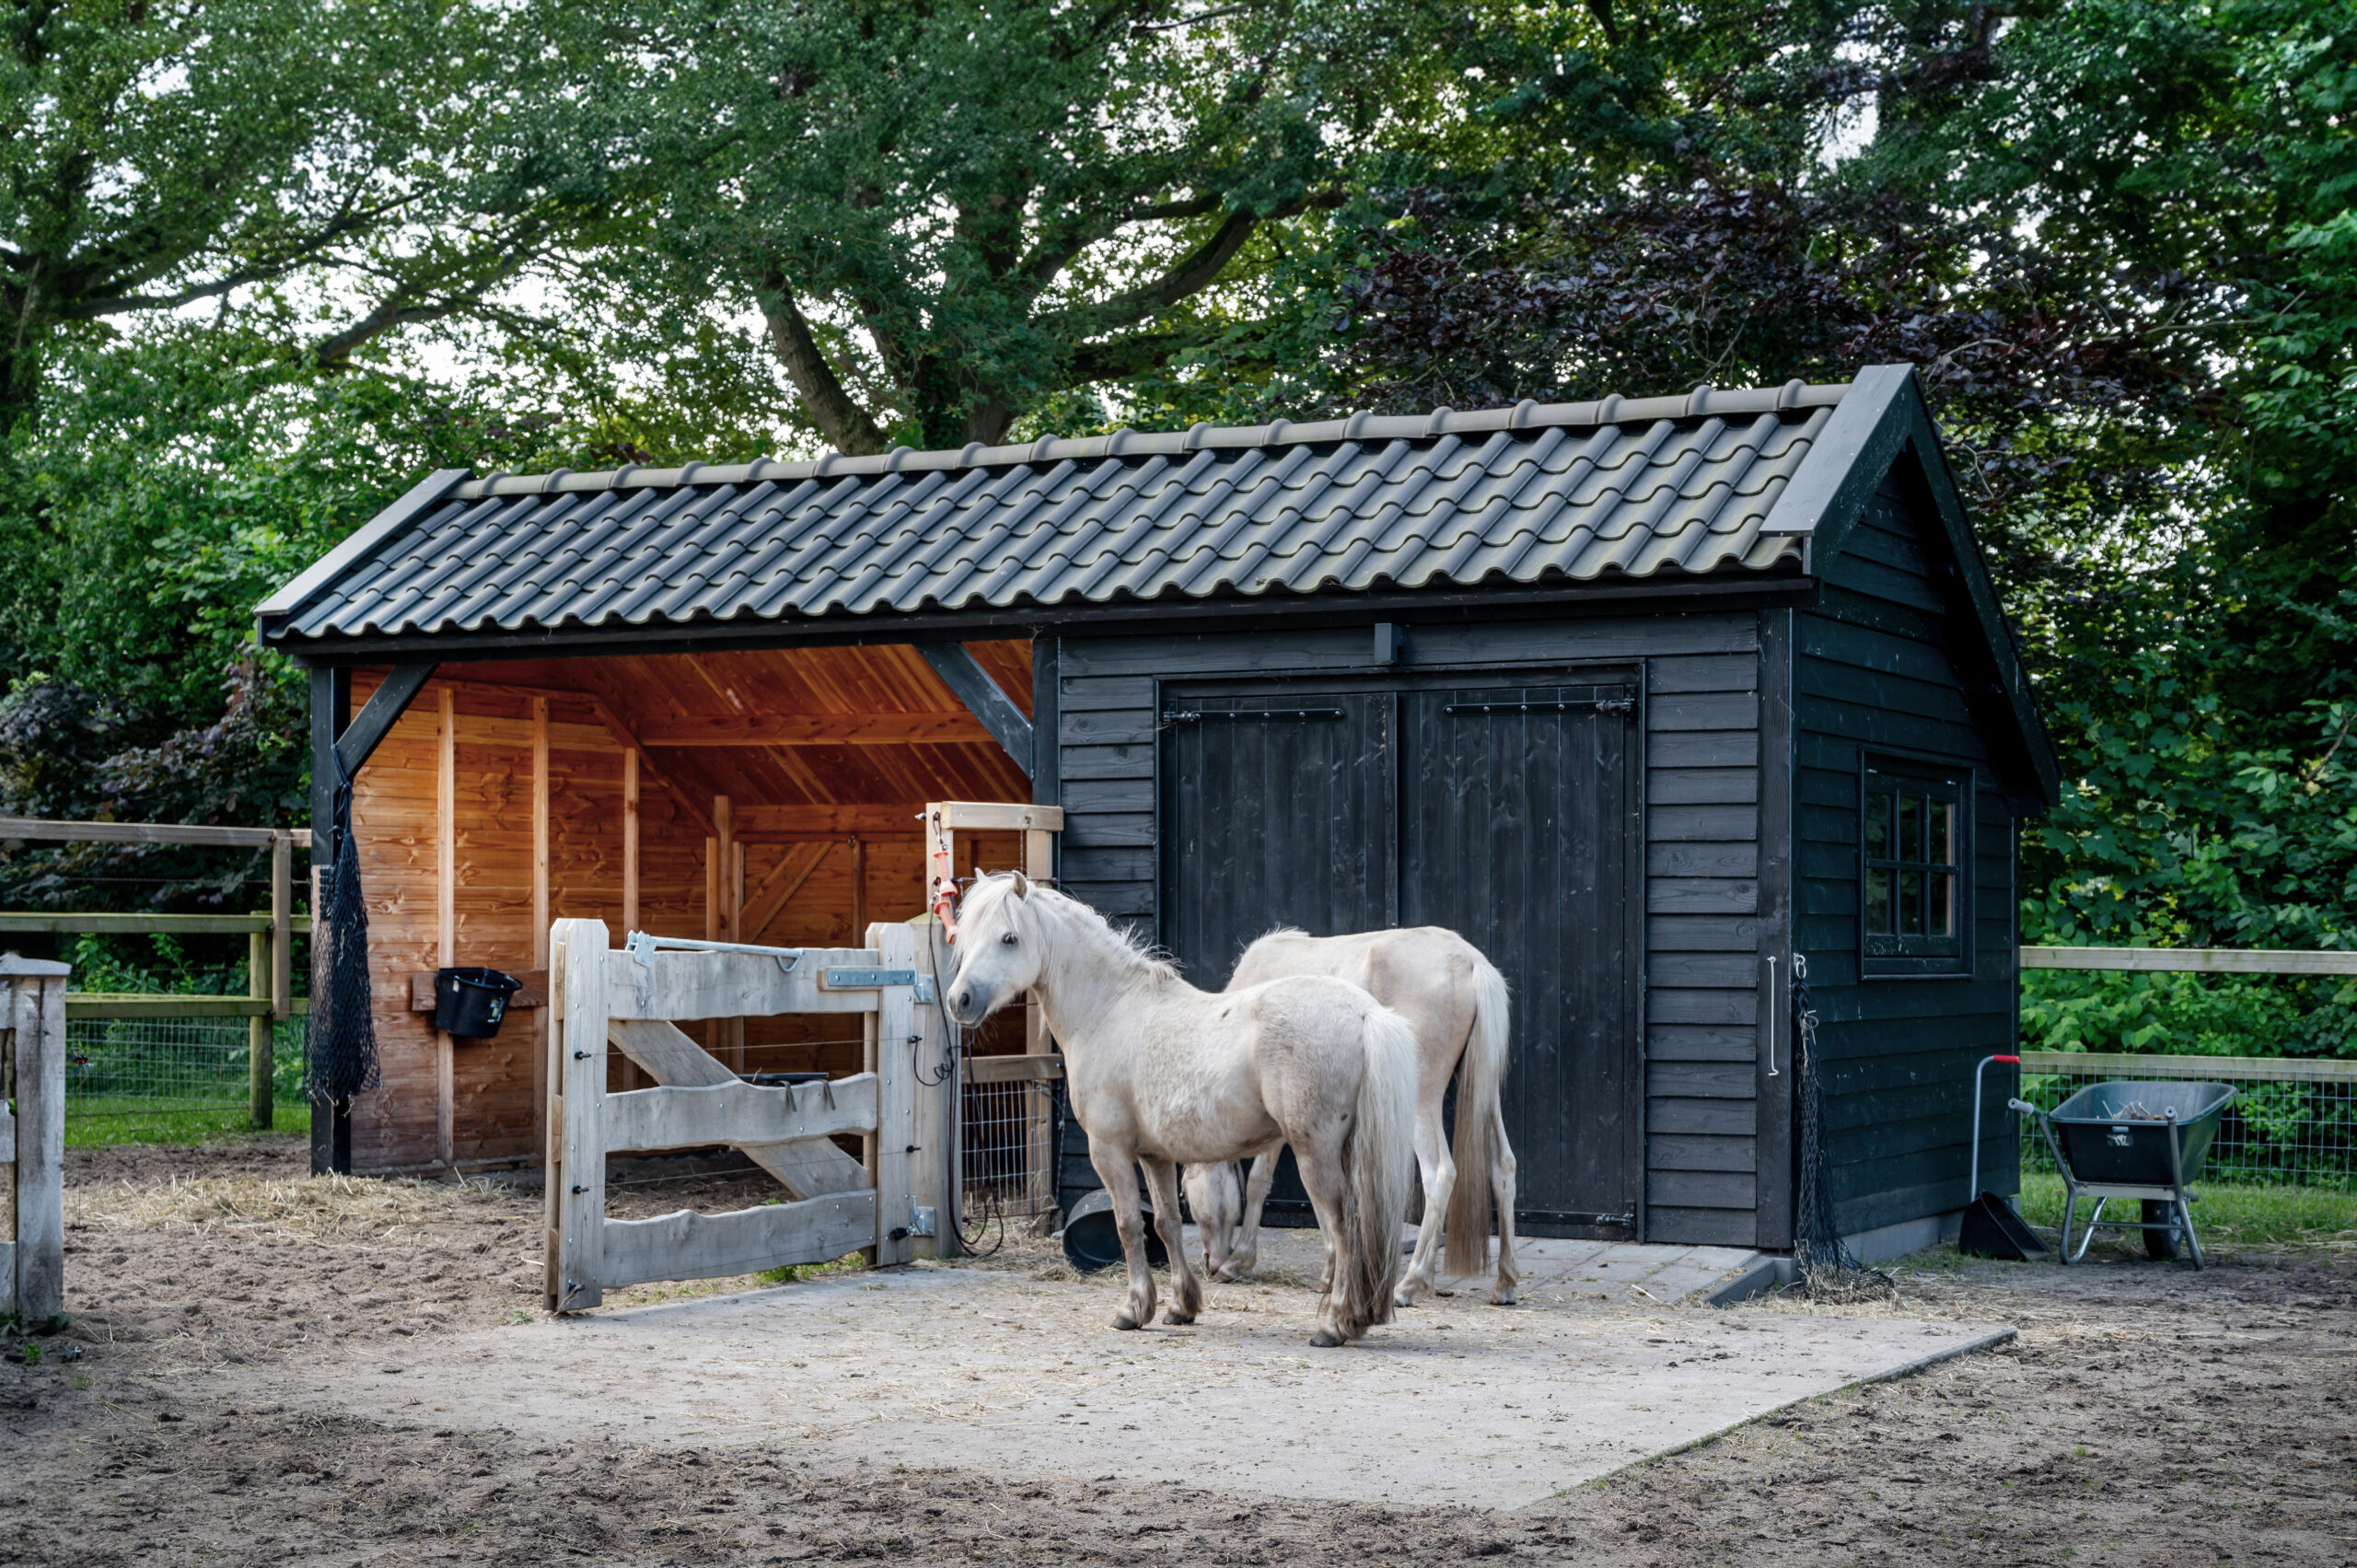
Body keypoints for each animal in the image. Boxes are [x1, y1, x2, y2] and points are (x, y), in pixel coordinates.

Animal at [944, 872, 1420, 1347]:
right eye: (967, 937)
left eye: (1009, 938)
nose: (958, 1000)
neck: (1110, 1011)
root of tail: (1364, 1013)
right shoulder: (1155, 1156)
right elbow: (1166, 1224)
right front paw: (1180, 1306)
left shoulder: (1109, 1151)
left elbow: (1128, 1224)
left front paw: (1133, 1308)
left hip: (1315, 1153)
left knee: (1342, 1226)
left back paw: (1334, 1323)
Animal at [1183, 927, 1520, 1307]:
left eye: (1187, 1196)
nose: (1210, 1261)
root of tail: (1470, 962)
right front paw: (1334, 1269)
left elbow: (1262, 1181)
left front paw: (1240, 1261)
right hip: (1484, 1090)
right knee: (1503, 1166)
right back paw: (1504, 1283)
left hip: (1420, 1101)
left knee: (1440, 1175)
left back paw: (1410, 1283)